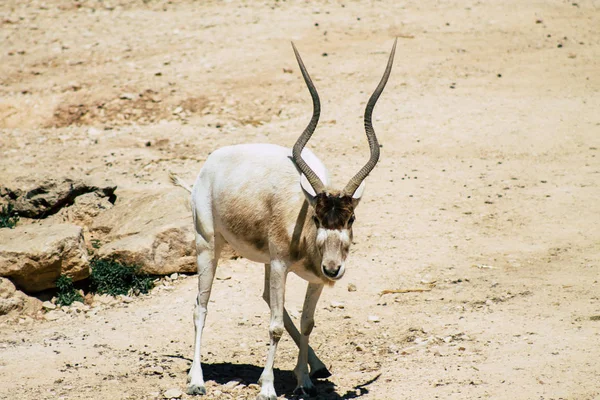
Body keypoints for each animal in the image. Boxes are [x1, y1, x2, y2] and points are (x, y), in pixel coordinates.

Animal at [171, 38, 396, 400]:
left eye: (350, 219)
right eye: (318, 219)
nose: (334, 268)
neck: (302, 223)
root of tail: (210, 163)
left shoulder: (314, 279)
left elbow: (307, 322)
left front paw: (304, 380)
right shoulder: (280, 265)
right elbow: (274, 326)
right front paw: (267, 388)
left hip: (263, 261)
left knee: (266, 297)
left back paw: (316, 367)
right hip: (208, 244)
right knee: (200, 306)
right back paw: (196, 380)